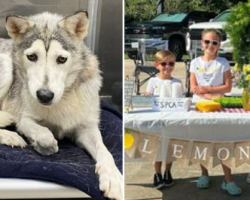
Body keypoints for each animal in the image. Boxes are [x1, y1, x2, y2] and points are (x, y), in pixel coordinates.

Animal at [0, 11, 122, 200]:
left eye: (62, 59)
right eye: (32, 57)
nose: (44, 95)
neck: (61, 100)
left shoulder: (87, 128)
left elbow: (105, 151)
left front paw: (113, 178)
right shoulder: (24, 120)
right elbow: (44, 133)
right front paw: (43, 145)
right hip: (6, 66)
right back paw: (10, 136)